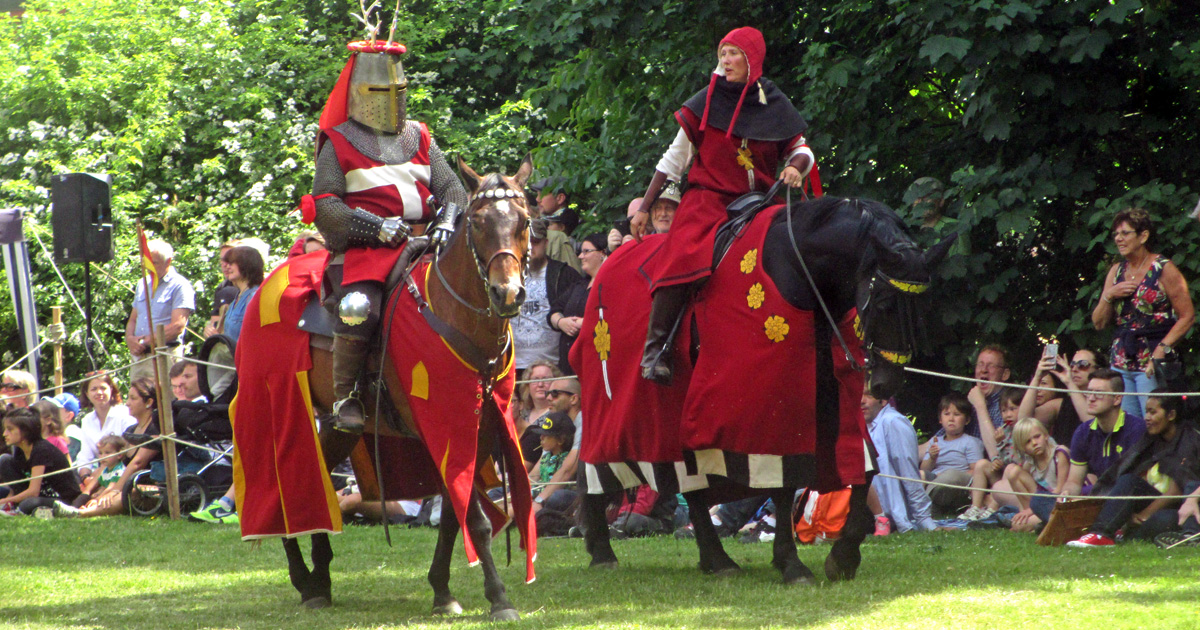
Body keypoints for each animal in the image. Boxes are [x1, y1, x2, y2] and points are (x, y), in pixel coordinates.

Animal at [278, 157, 532, 619]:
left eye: (522, 222)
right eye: (478, 223)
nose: (507, 293)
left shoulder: (477, 429)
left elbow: (452, 513)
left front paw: (442, 590)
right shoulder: (443, 425)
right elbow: (476, 519)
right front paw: (499, 597)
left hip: (344, 429)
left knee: (320, 477)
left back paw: (319, 576)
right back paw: (304, 577)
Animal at [576, 195, 950, 585]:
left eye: (922, 308)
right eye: (884, 304)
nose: (886, 382)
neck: (802, 275)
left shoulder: (834, 403)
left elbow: (865, 472)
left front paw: (843, 556)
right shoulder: (768, 411)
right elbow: (784, 487)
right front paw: (792, 563)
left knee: (693, 491)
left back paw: (715, 558)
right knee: (594, 468)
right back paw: (603, 551)